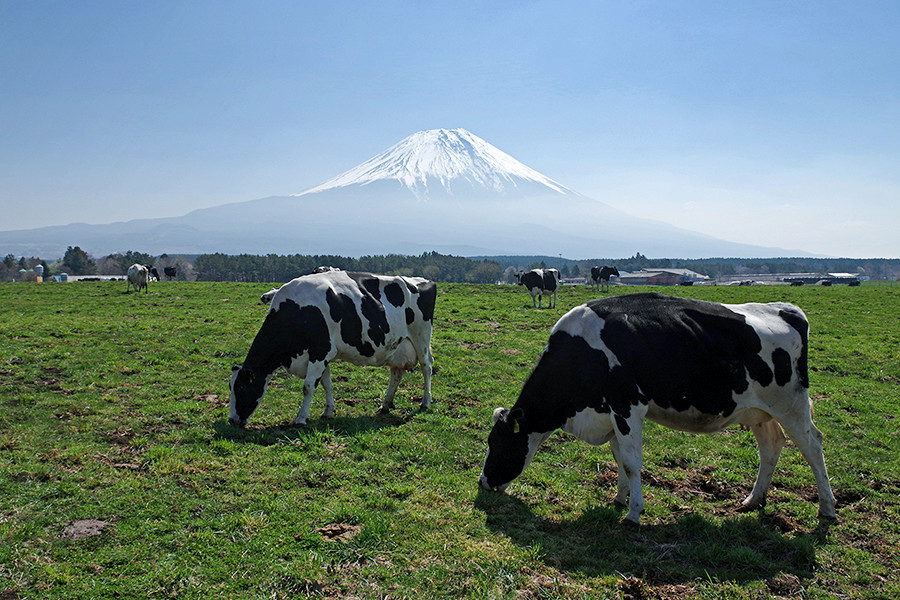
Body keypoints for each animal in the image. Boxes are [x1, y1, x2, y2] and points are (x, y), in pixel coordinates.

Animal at [230, 270, 438, 428]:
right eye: (230, 387)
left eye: (241, 387)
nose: (232, 420)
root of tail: (422, 280)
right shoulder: (321, 355)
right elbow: (326, 383)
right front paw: (328, 411)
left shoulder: (320, 351)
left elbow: (308, 387)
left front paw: (300, 419)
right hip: (398, 346)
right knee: (396, 373)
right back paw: (385, 405)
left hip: (421, 336)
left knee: (426, 367)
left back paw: (425, 402)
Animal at [482, 292, 840, 524]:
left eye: (496, 442)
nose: (483, 483)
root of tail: (785, 309)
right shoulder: (612, 413)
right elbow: (619, 458)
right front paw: (619, 499)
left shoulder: (627, 406)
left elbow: (631, 462)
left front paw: (633, 513)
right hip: (759, 411)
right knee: (771, 447)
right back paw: (753, 500)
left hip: (791, 405)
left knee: (813, 446)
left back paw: (827, 508)